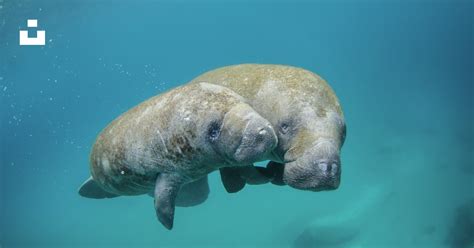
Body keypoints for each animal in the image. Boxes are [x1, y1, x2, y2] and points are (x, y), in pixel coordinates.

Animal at [78, 82, 278, 230]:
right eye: (213, 130)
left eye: (248, 104)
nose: (263, 131)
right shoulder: (168, 169)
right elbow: (163, 199)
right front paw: (167, 224)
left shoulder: (232, 155)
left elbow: (248, 171)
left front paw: (264, 176)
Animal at [190, 64, 348, 192]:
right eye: (284, 127)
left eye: (344, 133)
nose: (328, 167)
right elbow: (244, 168)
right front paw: (266, 176)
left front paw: (275, 174)